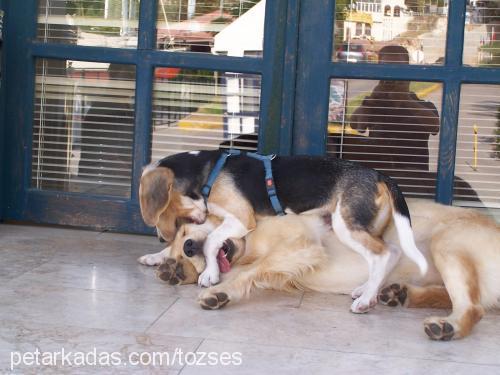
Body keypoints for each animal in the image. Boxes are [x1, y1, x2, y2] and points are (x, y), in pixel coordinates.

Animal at [138, 201, 500, 342]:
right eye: (181, 247)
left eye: (187, 232)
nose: (187, 249)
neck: (249, 244)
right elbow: (252, 271)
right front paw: (172, 268)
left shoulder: (303, 244)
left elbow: (248, 272)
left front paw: (218, 292)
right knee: (463, 298)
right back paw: (398, 293)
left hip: (446, 242)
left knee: (473, 307)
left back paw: (446, 327)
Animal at [139, 151, 428, 312]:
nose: (161, 237)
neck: (210, 173)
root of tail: (380, 175)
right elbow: (209, 240)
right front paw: (157, 256)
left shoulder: (242, 220)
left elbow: (210, 241)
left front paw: (209, 275)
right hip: (363, 227)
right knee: (391, 251)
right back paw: (366, 289)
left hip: (346, 226)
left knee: (382, 254)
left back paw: (366, 299)